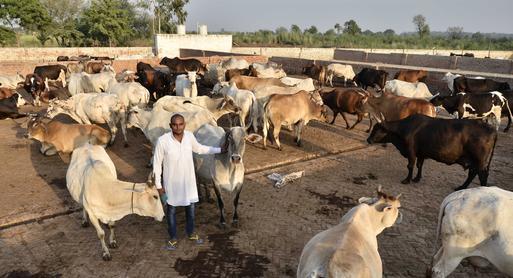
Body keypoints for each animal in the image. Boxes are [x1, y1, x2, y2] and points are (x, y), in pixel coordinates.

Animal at [368, 114, 496, 190]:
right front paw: (417, 178)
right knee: (472, 173)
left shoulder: (411, 151)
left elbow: (410, 166)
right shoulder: (421, 153)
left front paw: (407, 180)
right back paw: (461, 187)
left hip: (480, 161)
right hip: (474, 161)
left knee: (482, 175)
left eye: (377, 129)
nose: (368, 140)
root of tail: (491, 128)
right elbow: (419, 165)